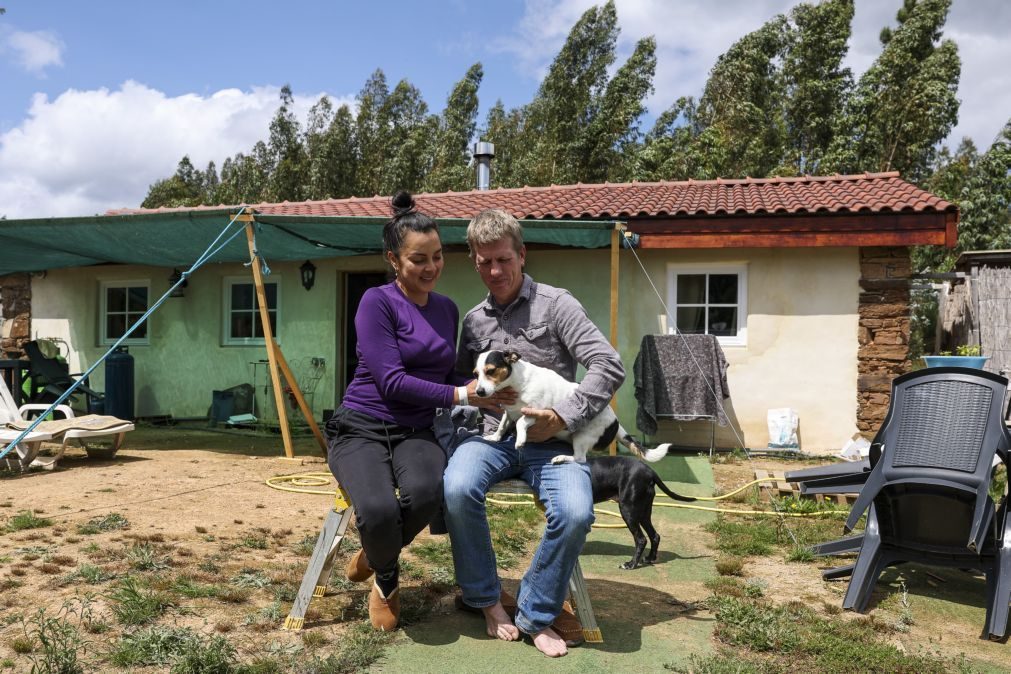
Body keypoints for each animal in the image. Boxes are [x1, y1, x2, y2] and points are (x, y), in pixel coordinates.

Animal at [473, 351, 671, 466]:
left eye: (491, 371)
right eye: (476, 374)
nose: (479, 392)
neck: (518, 382)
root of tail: (615, 423)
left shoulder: (537, 412)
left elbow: (521, 422)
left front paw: (520, 440)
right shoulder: (509, 412)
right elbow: (502, 426)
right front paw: (494, 438)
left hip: (581, 437)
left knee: (581, 459)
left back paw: (562, 458)